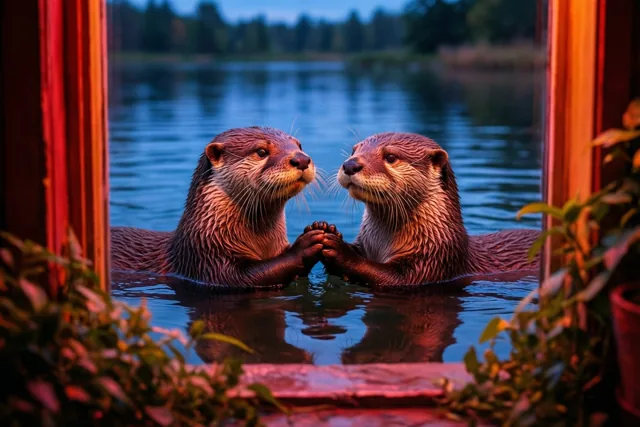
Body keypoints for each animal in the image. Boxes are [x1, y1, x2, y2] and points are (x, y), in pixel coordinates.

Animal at [111, 126, 334, 289]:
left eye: (299, 145)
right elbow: (249, 276)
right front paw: (306, 243)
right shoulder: (207, 259)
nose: (302, 159)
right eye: (261, 151)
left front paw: (325, 231)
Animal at [320, 132, 539, 288]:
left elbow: (391, 277)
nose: (350, 164)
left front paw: (339, 250)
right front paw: (326, 231)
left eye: (390, 157)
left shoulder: (433, 259)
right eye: (353, 151)